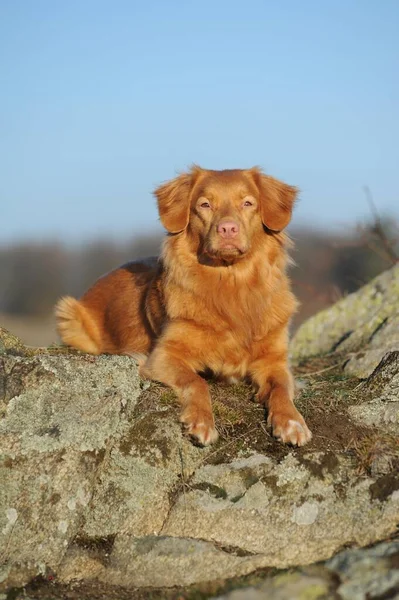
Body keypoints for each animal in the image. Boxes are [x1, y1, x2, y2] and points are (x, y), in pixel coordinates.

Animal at [55, 166, 312, 448]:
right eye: (205, 204)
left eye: (248, 203)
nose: (228, 229)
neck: (231, 286)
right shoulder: (162, 356)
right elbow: (196, 380)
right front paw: (201, 420)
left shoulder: (274, 361)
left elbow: (281, 388)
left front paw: (292, 422)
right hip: (69, 314)